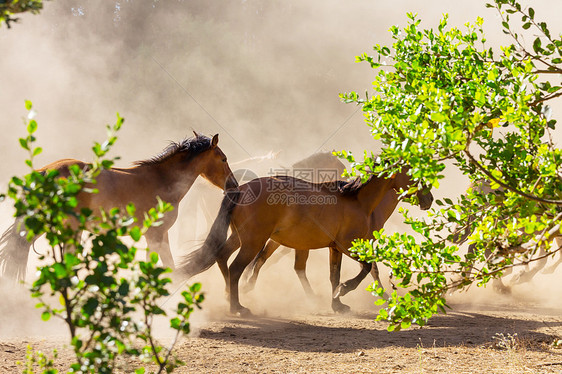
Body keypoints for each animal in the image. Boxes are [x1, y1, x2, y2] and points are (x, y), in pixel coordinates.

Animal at [0, 131, 236, 280]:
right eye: (224, 159)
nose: (233, 184)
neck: (161, 180)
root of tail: (46, 171)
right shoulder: (155, 235)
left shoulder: (158, 236)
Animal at [177, 169, 430, 316]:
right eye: (413, 175)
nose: (429, 199)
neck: (358, 202)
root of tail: (240, 189)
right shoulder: (349, 247)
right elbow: (367, 268)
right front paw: (345, 290)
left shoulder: (335, 248)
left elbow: (334, 275)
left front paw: (337, 304)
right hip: (252, 242)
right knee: (236, 268)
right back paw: (237, 307)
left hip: (240, 238)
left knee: (222, 257)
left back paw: (230, 296)